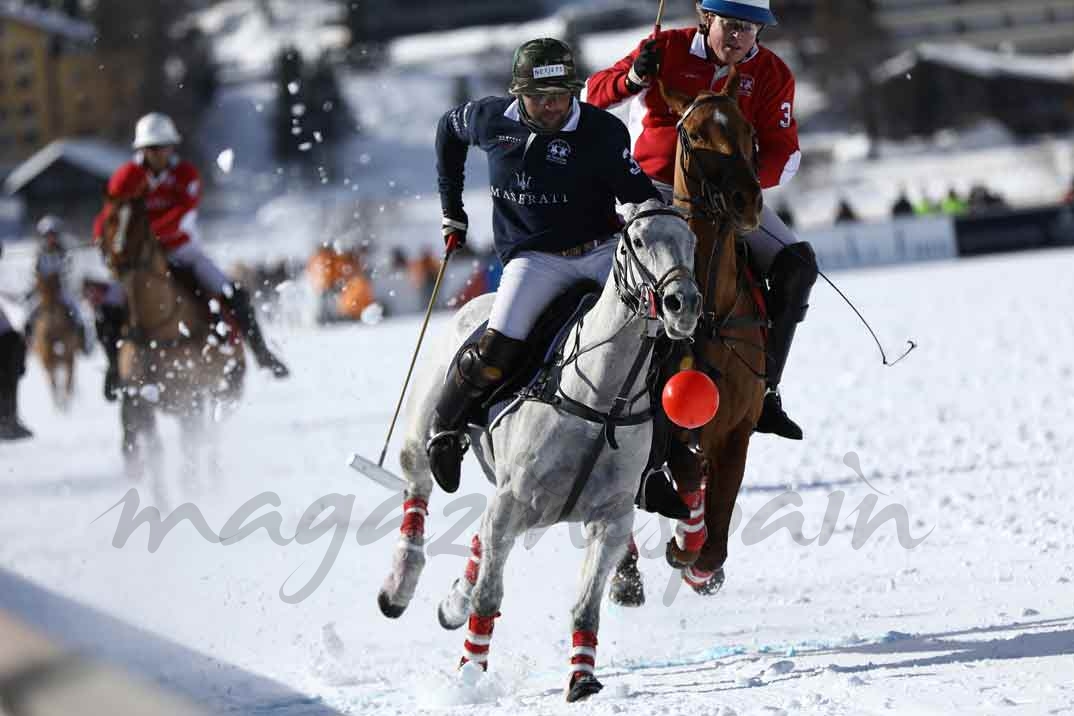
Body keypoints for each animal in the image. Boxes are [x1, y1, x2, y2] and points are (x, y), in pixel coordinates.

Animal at [30, 271, 83, 412]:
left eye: (37, 284)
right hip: (67, 358)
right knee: (66, 385)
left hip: (50, 360)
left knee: (57, 387)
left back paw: (60, 406)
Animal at [96, 194, 245, 487]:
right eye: (109, 219)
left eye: (140, 220)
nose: (117, 259)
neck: (155, 327)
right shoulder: (140, 401)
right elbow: (155, 453)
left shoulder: (188, 395)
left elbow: (190, 447)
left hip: (225, 389)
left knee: (211, 436)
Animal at [382, 198, 700, 704]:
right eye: (636, 240)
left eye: (691, 240)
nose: (682, 304)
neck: (600, 399)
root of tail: (480, 301)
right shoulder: (512, 503)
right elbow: (489, 597)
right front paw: (470, 674)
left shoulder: (611, 518)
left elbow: (586, 604)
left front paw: (582, 678)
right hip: (424, 424)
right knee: (419, 483)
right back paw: (398, 587)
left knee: (478, 539)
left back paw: (452, 601)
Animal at [614, 69, 773, 601]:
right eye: (696, 133)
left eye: (748, 130)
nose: (747, 201)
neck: (711, 315)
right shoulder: (665, 427)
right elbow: (682, 469)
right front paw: (686, 545)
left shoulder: (736, 429)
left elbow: (720, 512)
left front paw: (703, 566)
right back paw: (627, 573)